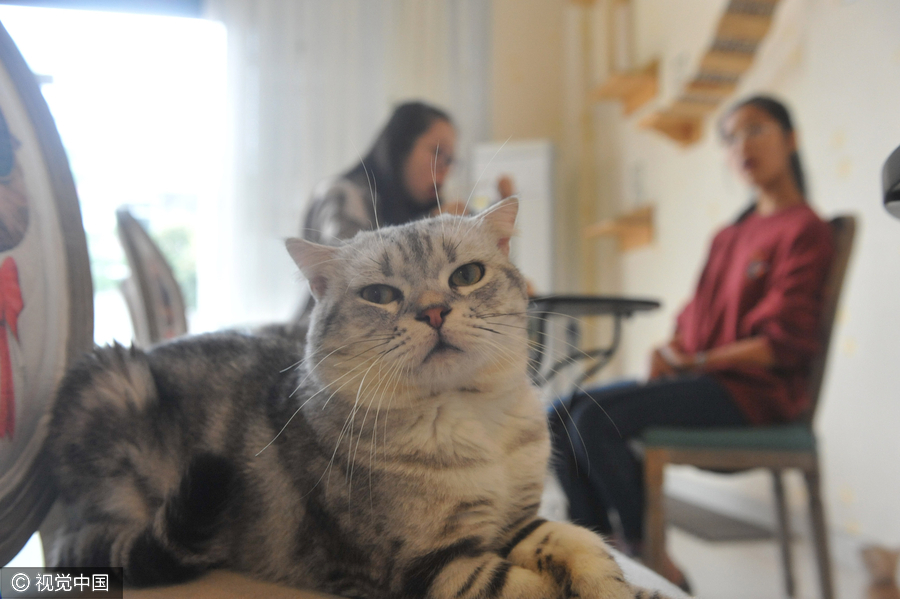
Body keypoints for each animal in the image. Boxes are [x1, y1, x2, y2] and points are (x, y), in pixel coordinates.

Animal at [45, 202, 672, 599]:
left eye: (467, 274)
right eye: (379, 294)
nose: (434, 311)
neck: (475, 424)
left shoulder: (514, 522)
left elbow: (580, 542)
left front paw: (624, 587)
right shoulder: (427, 566)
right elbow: (528, 587)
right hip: (113, 389)